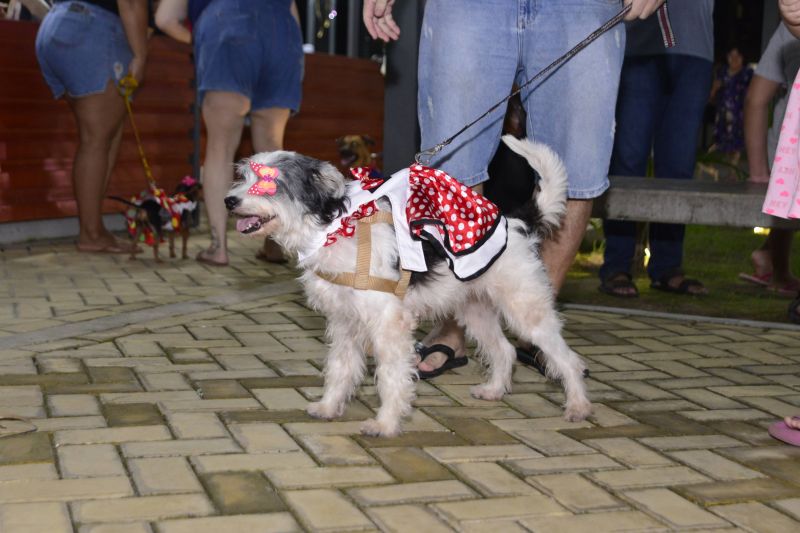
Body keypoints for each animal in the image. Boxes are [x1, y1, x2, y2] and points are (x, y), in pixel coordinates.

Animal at [223, 136, 588, 436]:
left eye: (269, 183)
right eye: (244, 177)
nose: (228, 201)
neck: (334, 229)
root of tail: (516, 223)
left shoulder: (389, 325)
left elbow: (391, 377)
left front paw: (385, 424)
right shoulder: (345, 323)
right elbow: (340, 369)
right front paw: (328, 407)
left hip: (526, 312)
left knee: (568, 360)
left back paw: (578, 407)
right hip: (476, 311)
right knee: (504, 350)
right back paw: (494, 391)